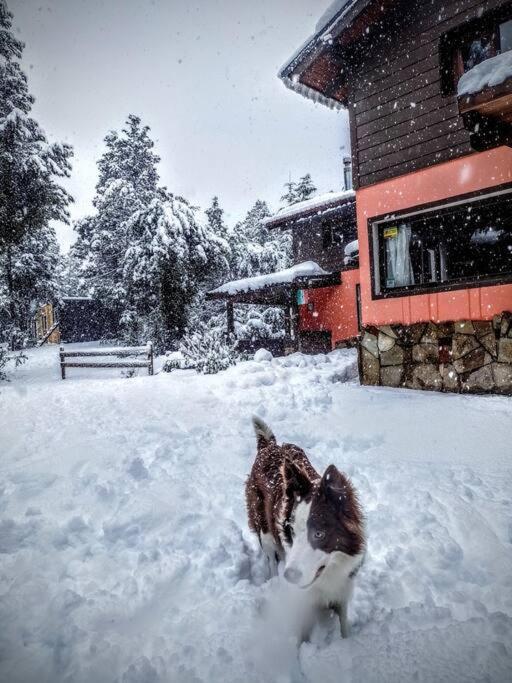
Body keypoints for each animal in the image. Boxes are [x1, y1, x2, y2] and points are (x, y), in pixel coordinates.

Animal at [246, 416, 366, 640]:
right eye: (292, 531)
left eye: (319, 533)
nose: (290, 576)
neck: (329, 570)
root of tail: (270, 446)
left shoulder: (343, 587)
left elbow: (344, 625)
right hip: (264, 531)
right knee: (271, 560)